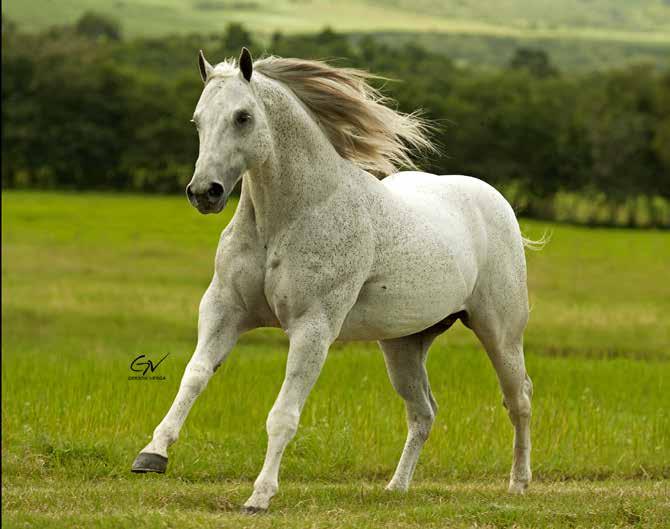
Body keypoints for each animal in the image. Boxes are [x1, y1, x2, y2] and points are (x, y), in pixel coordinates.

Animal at [134, 47, 540, 510]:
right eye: (197, 120)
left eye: (242, 117)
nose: (205, 192)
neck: (287, 219)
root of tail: (497, 202)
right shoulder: (224, 310)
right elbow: (195, 375)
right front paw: (152, 455)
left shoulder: (313, 327)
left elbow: (283, 415)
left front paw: (260, 495)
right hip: (403, 345)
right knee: (423, 412)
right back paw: (396, 487)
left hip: (500, 333)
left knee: (519, 400)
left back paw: (518, 483)